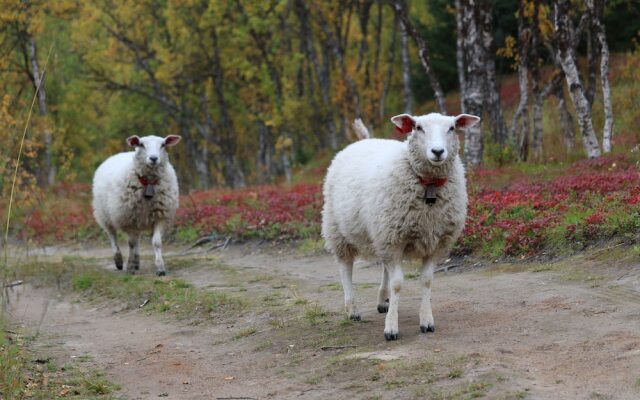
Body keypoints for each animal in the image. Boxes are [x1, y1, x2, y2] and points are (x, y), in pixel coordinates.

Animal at [91, 134, 180, 276]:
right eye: (141, 144)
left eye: (163, 145)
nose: (153, 158)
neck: (148, 183)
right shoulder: (128, 218)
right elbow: (131, 243)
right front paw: (129, 267)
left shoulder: (160, 215)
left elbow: (156, 242)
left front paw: (160, 268)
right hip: (104, 214)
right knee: (112, 235)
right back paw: (119, 260)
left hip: (139, 217)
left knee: (137, 238)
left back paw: (137, 261)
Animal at [320, 113, 480, 340]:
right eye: (418, 127)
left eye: (451, 128)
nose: (438, 151)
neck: (429, 186)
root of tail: (365, 140)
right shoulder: (393, 239)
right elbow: (397, 284)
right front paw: (391, 328)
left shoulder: (434, 241)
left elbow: (426, 281)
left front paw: (426, 321)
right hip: (338, 228)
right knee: (345, 267)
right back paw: (352, 309)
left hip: (381, 232)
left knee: (384, 266)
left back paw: (382, 301)